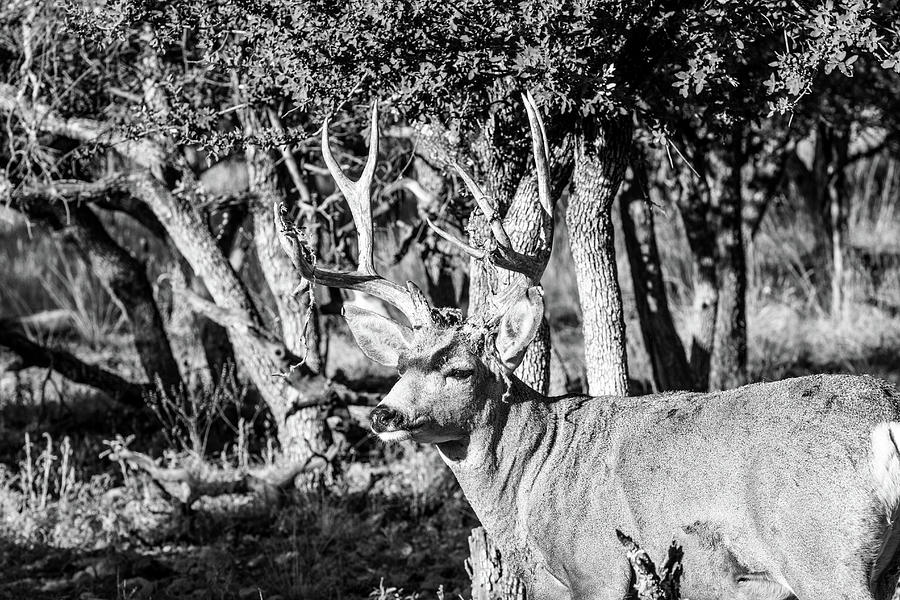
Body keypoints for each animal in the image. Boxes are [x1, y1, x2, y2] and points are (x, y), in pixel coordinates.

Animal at [274, 98, 900, 600]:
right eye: (403, 363)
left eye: (458, 369)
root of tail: (886, 424)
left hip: (822, 555)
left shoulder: (597, 566)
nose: (383, 414)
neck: (531, 479)